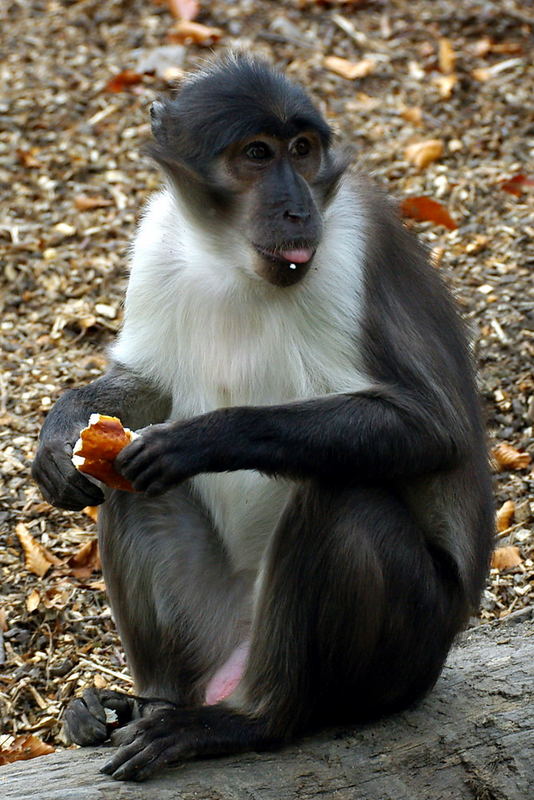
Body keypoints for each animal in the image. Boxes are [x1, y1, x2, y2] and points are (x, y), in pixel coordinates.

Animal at [32, 57, 494, 780]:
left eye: (300, 151)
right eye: (257, 154)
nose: (296, 207)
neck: (236, 260)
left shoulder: (352, 241)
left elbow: (432, 430)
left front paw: (201, 440)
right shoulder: (160, 236)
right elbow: (145, 391)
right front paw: (61, 435)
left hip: (411, 650)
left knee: (347, 502)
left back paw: (249, 721)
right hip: (215, 625)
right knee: (128, 487)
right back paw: (152, 706)